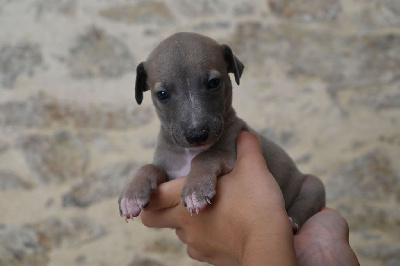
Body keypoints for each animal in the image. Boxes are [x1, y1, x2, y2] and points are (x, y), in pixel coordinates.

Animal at [119, 32, 324, 232]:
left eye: (214, 82)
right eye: (162, 94)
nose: (197, 135)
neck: (189, 153)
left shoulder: (232, 156)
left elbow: (207, 155)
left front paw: (196, 190)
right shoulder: (169, 171)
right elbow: (150, 167)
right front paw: (131, 194)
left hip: (312, 186)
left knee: (303, 205)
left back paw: (291, 221)